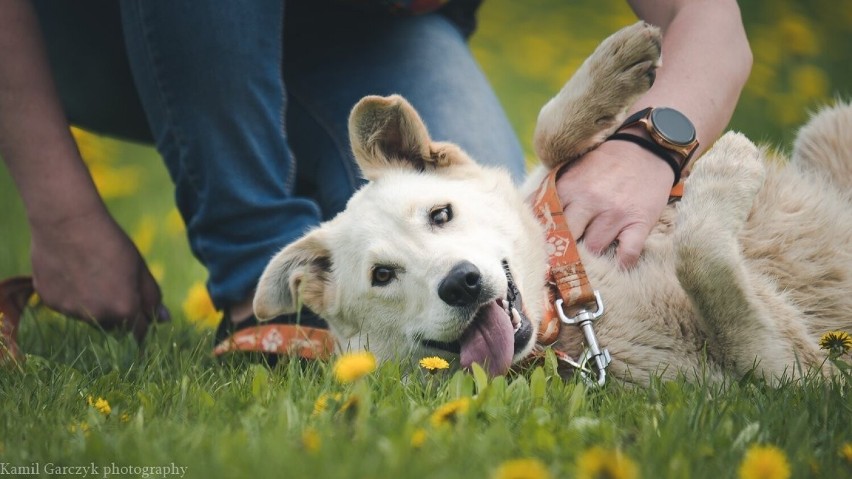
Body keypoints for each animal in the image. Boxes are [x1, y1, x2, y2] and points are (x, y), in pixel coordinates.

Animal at [250, 22, 852, 384]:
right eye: (382, 276)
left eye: (441, 214)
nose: (461, 282)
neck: (567, 306)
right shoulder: (795, 375)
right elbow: (701, 258)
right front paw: (729, 168)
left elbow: (549, 142)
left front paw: (617, 66)